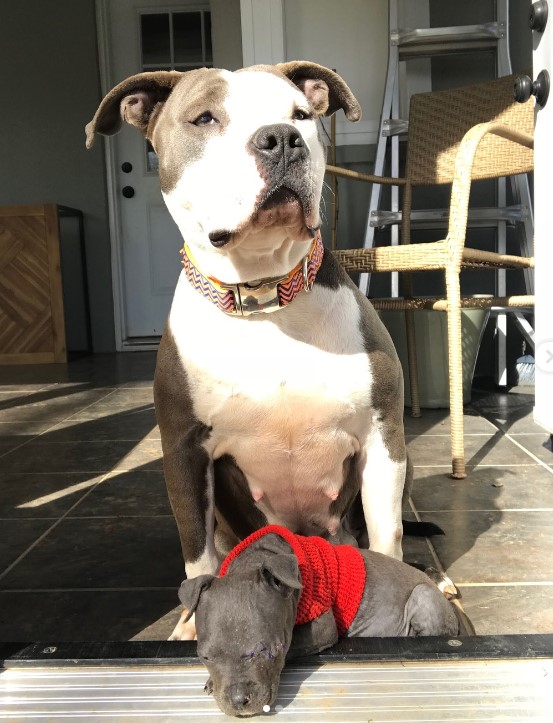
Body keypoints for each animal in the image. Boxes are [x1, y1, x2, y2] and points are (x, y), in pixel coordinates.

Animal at [87, 60, 410, 640]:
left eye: (301, 115)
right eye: (205, 118)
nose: (280, 139)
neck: (263, 300)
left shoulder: (383, 436)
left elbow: (387, 534)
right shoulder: (184, 452)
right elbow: (198, 554)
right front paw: (192, 625)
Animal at [179, 528, 460, 720]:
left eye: (271, 652)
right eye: (205, 657)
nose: (238, 702)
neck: (260, 557)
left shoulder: (322, 627)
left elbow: (294, 647)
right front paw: (212, 682)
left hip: (423, 596)